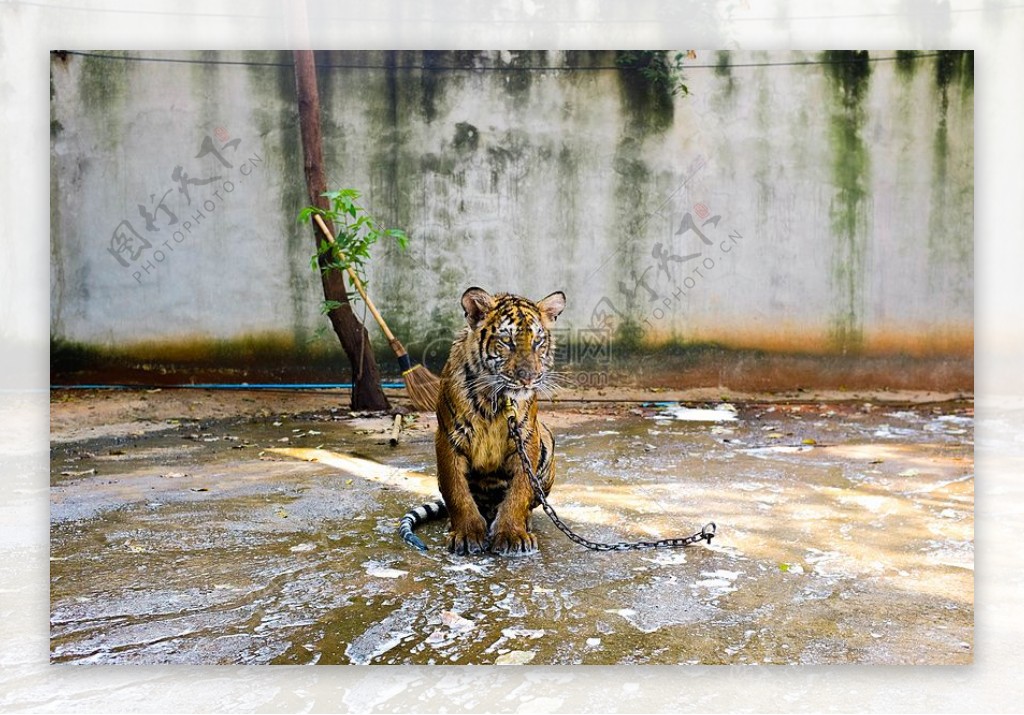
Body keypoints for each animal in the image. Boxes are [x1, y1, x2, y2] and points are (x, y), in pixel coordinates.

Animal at [397, 286, 565, 553]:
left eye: (538, 342)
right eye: (507, 341)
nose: (528, 378)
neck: (494, 400)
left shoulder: (526, 438)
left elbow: (520, 491)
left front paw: (512, 534)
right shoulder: (449, 438)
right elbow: (456, 491)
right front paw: (466, 533)